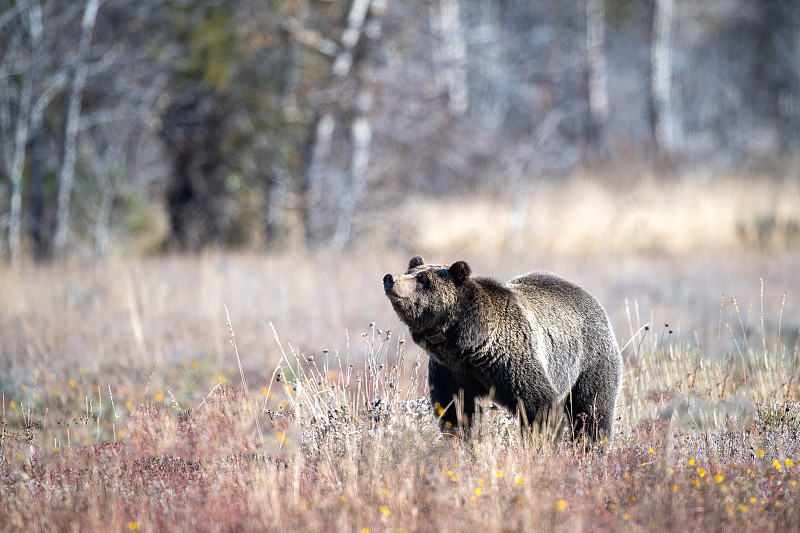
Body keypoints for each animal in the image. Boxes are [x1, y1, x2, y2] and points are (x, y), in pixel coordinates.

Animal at [384, 256, 620, 438]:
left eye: (423, 278)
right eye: (410, 271)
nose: (390, 279)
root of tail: (588, 296)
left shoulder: (511, 359)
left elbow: (540, 408)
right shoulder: (449, 370)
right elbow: (455, 411)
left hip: (590, 359)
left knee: (592, 410)